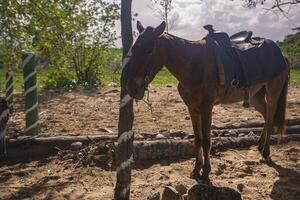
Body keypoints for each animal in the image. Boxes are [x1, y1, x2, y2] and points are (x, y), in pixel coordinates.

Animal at [123, 21, 290, 182]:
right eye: (134, 49)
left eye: (149, 50)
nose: (132, 88)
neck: (194, 65)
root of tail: (282, 54)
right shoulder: (192, 108)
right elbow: (198, 139)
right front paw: (196, 169)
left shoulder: (206, 108)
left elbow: (206, 141)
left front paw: (206, 172)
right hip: (256, 96)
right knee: (266, 116)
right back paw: (260, 146)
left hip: (273, 93)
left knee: (270, 119)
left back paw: (266, 153)